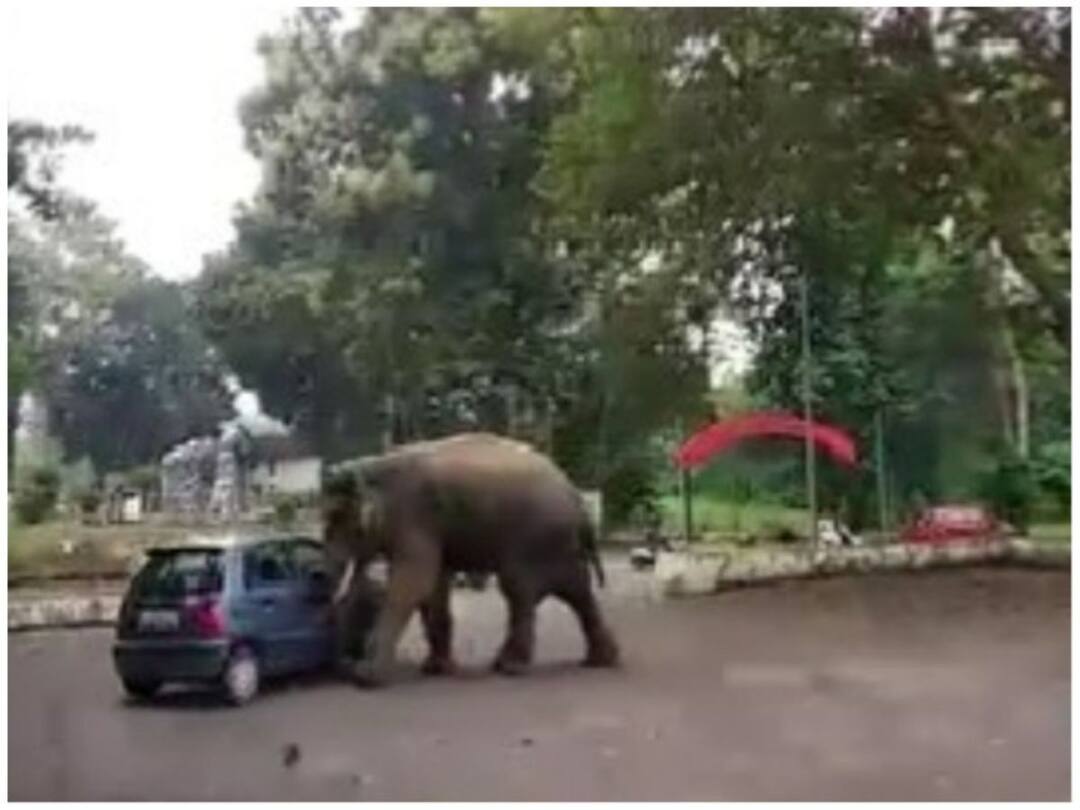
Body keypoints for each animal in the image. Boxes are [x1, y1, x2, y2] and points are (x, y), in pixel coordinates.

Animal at [321, 432, 620, 686]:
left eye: (338, 520)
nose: (347, 666)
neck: (372, 468)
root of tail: (577, 497)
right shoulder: (430, 528)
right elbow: (434, 587)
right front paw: (436, 668)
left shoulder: (414, 518)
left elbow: (412, 584)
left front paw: (368, 677)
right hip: (558, 544)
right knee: (576, 590)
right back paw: (600, 661)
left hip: (537, 538)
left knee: (520, 590)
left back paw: (510, 667)